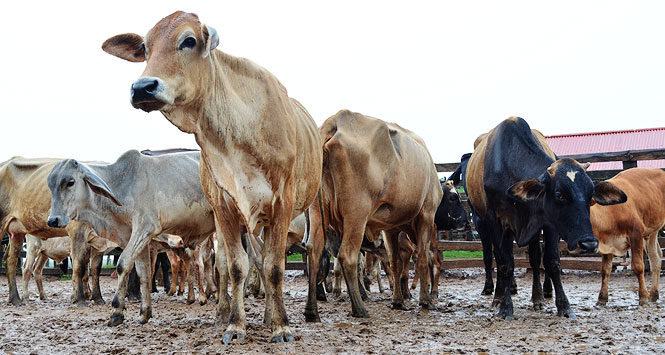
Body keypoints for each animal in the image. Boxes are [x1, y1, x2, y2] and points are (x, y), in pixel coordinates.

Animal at [46, 149, 218, 326]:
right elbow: (144, 273)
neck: (122, 184)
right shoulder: (137, 237)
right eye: (50, 185)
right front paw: (144, 313)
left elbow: (123, 264)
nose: (53, 220)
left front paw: (117, 311)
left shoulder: (144, 228)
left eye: (70, 182)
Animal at [102, 11, 322, 344]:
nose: (142, 87)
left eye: (189, 40)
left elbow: (274, 267)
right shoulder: (225, 209)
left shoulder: (281, 204)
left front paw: (281, 327)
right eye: (145, 47)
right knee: (241, 262)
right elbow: (236, 266)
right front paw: (235, 325)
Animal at [304, 110, 440, 322]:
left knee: (314, 251)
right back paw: (359, 308)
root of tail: (335, 121)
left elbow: (394, 263)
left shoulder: (391, 228)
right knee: (347, 256)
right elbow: (422, 259)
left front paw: (398, 301)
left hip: (318, 211)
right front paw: (425, 300)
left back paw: (311, 311)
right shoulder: (427, 213)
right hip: (356, 213)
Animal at [464, 118, 624, 322]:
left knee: (534, 258)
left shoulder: (548, 223)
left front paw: (564, 306)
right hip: (485, 224)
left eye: (590, 196)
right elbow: (504, 263)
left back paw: (538, 297)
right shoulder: (495, 221)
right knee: (496, 258)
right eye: (559, 195)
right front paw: (506, 306)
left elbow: (551, 261)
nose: (588, 244)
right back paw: (498, 296)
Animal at [592, 168, 664, 308]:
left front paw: (643, 297)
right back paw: (654, 294)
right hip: (652, 232)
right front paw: (602, 297)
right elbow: (605, 270)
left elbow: (638, 266)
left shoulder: (636, 234)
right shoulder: (608, 242)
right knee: (656, 257)